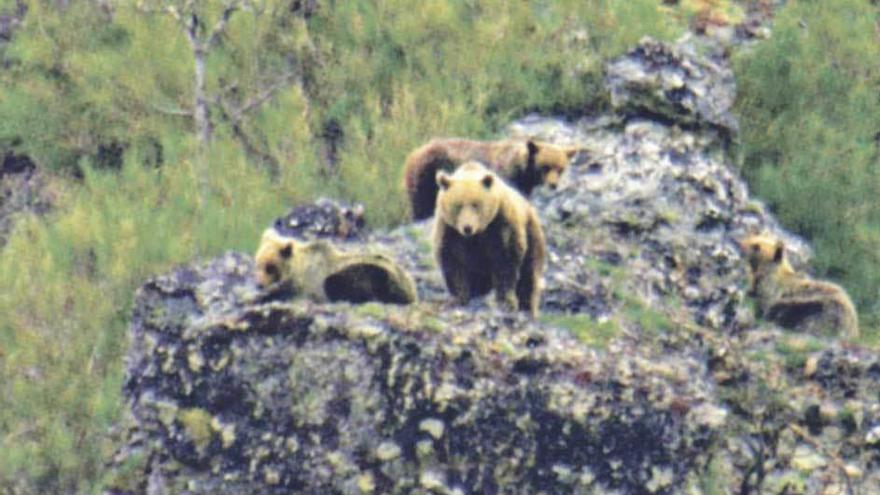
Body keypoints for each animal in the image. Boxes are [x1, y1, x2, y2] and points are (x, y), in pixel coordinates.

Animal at [404, 137, 576, 220]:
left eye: (560, 168)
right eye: (545, 166)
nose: (553, 184)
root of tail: (414, 152)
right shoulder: (505, 175)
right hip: (425, 175)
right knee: (420, 204)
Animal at [432, 163, 548, 318]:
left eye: (475, 204)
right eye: (458, 205)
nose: (467, 227)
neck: (477, 234)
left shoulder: (500, 224)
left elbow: (505, 262)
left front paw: (506, 302)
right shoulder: (449, 230)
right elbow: (452, 262)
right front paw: (456, 299)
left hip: (532, 232)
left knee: (529, 274)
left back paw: (527, 308)